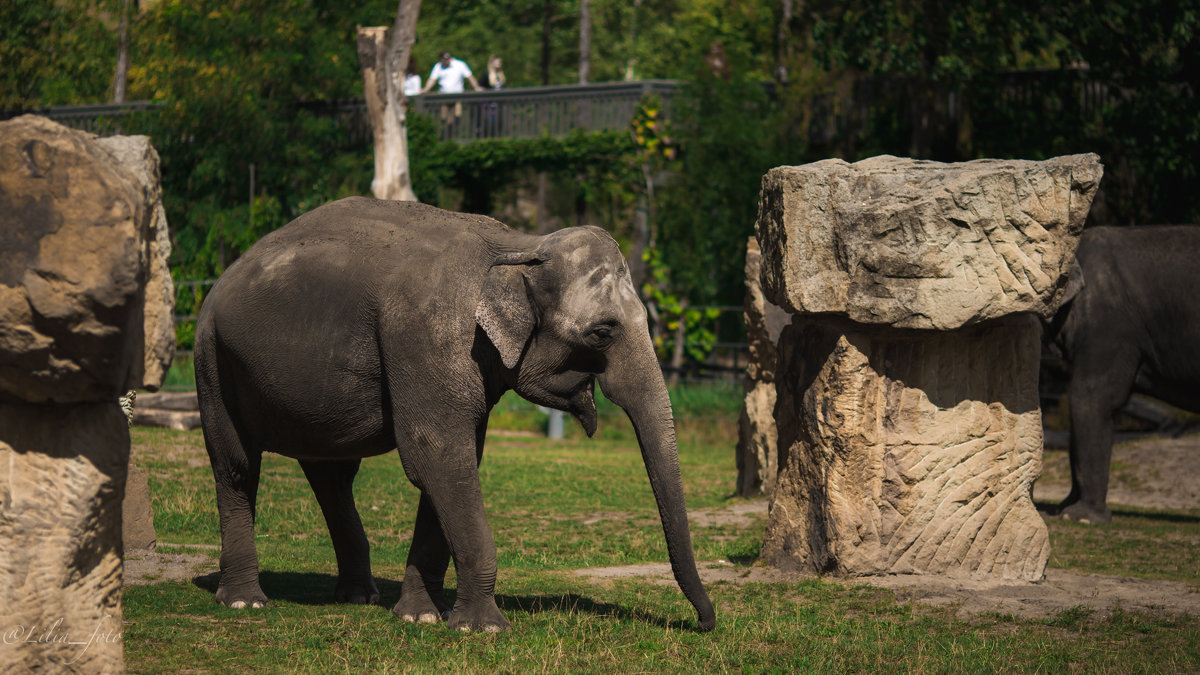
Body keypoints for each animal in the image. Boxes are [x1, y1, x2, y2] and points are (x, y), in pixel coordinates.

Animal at [195, 194, 715, 629]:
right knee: (237, 467)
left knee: (332, 475)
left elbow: (454, 464)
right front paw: (481, 628)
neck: (518, 246)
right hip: (212, 360)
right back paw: (245, 601)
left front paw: (422, 617)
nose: (705, 623)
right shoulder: (430, 336)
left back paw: (358, 597)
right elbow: (438, 456)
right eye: (603, 332)